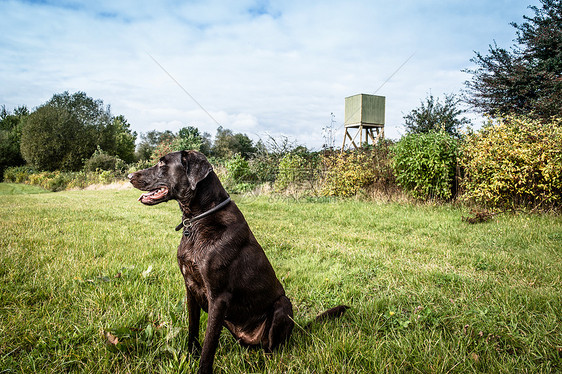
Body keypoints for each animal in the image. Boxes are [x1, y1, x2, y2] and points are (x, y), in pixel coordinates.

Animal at [129, 150, 346, 372]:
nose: (129, 176)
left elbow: (209, 344)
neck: (198, 221)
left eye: (162, 164)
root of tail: (296, 328)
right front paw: (190, 358)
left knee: (272, 348)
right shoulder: (190, 288)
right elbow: (193, 329)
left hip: (283, 305)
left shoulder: (218, 298)